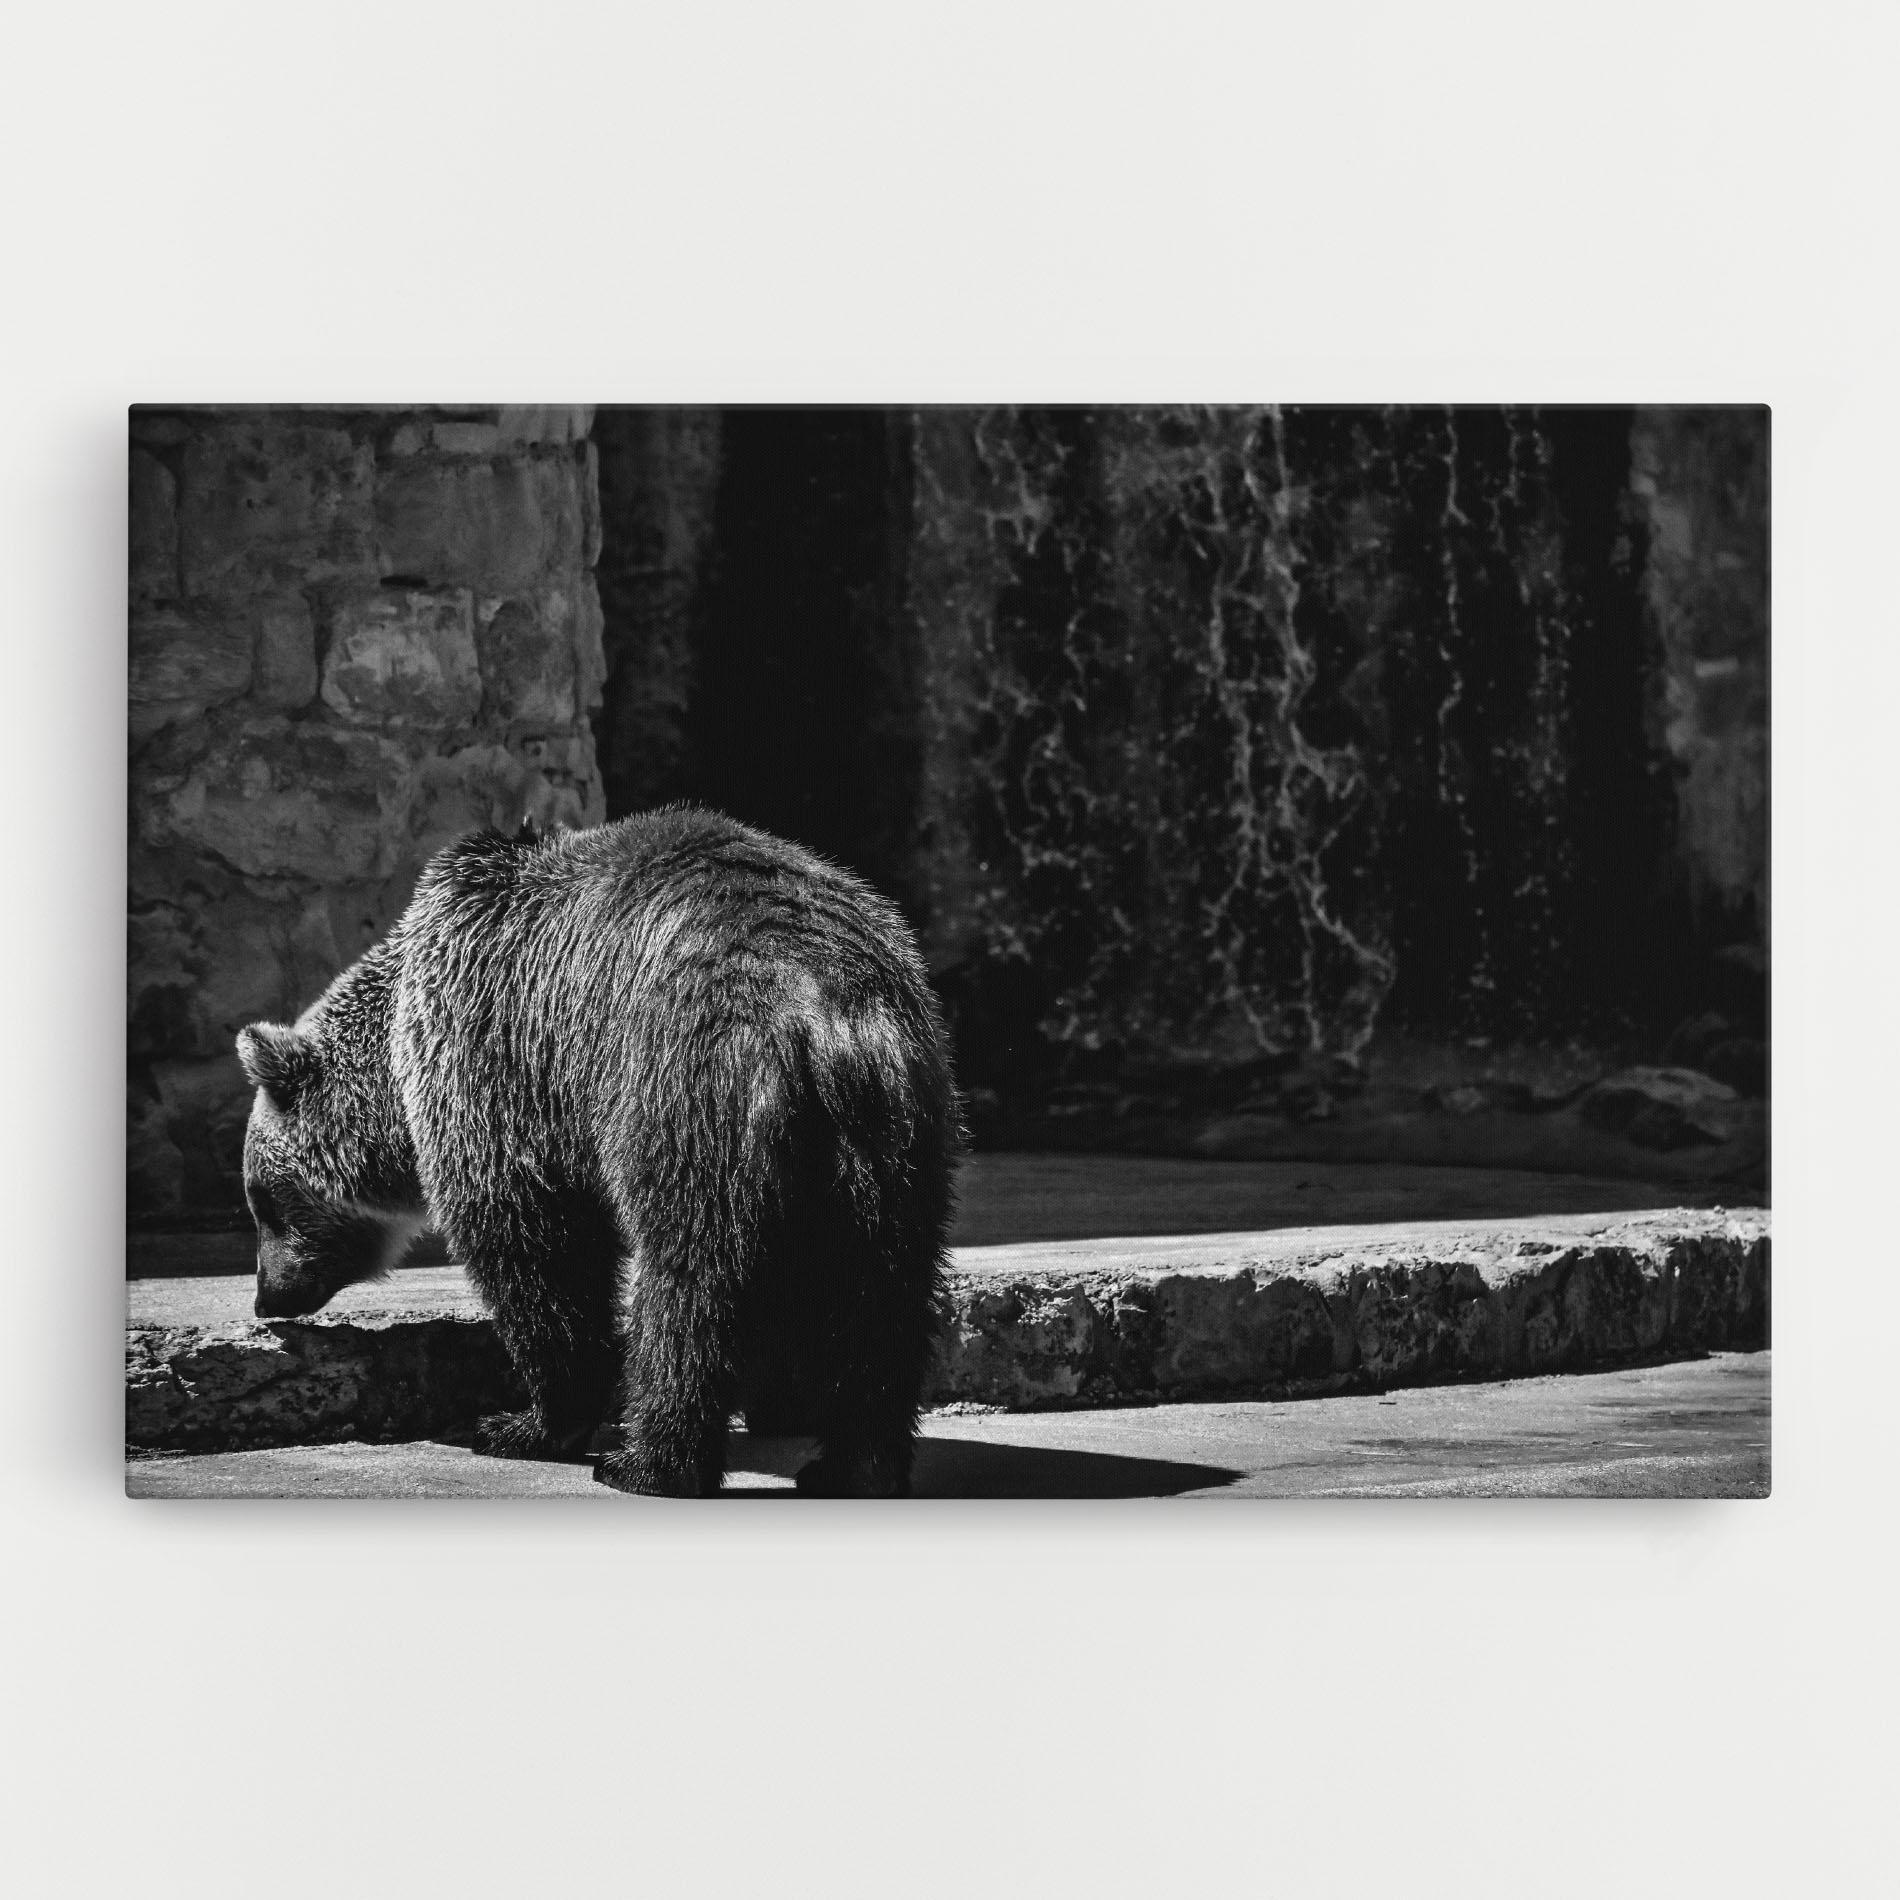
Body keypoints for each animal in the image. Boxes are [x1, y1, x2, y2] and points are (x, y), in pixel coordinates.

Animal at [234, 806, 961, 1497]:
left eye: (263, 1200)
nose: (267, 1297)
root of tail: (827, 1011)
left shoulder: (501, 1059)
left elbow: (536, 1248)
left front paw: (521, 1423)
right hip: (899, 1135)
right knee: (882, 1296)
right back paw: (854, 1466)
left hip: (688, 1092)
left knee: (691, 1284)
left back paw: (647, 1463)